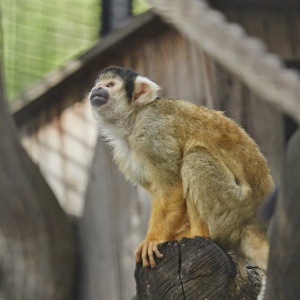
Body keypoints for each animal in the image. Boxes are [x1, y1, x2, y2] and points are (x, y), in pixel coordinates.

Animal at [88, 66, 274, 272]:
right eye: (99, 84)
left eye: (110, 85)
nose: (96, 90)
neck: (132, 121)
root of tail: (253, 223)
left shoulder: (153, 129)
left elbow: (171, 186)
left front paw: (153, 240)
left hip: (233, 208)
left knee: (194, 157)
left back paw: (199, 232)